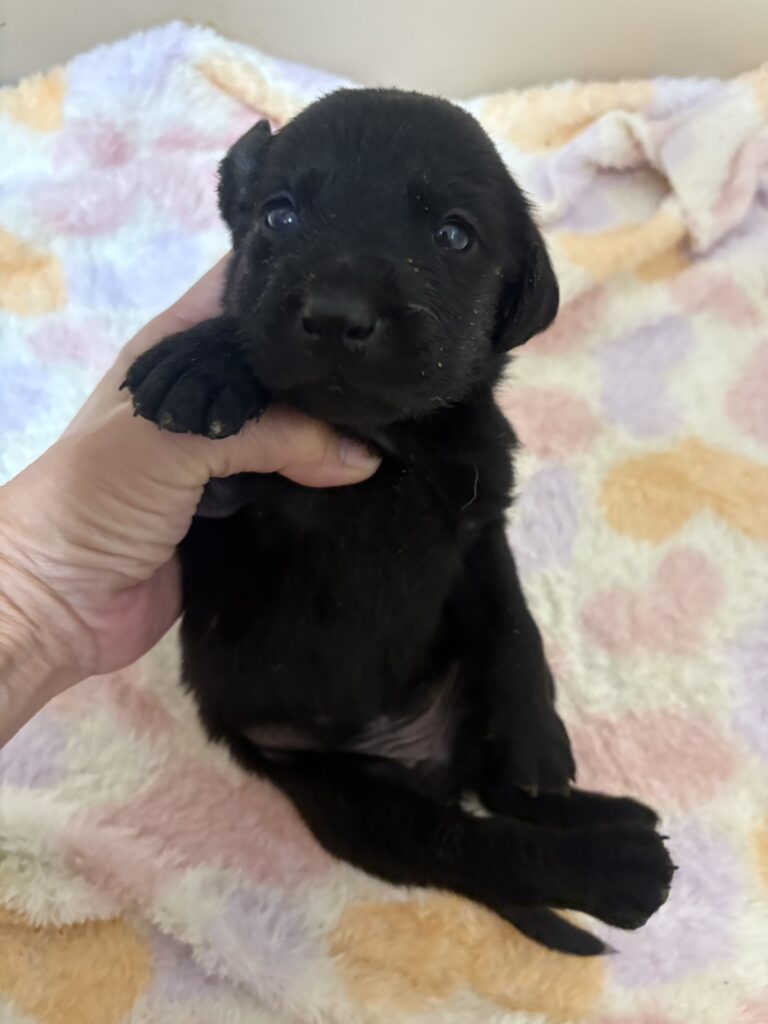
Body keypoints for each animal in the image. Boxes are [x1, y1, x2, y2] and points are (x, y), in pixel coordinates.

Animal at [124, 88, 673, 956]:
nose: (336, 316)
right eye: (279, 215)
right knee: (474, 847)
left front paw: (539, 732)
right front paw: (210, 360)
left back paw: (604, 810)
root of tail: (422, 761)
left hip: (458, 698)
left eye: (454, 235)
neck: (393, 442)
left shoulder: (481, 520)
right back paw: (620, 869)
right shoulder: (208, 504)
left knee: (502, 792)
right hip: (355, 801)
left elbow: (516, 624)